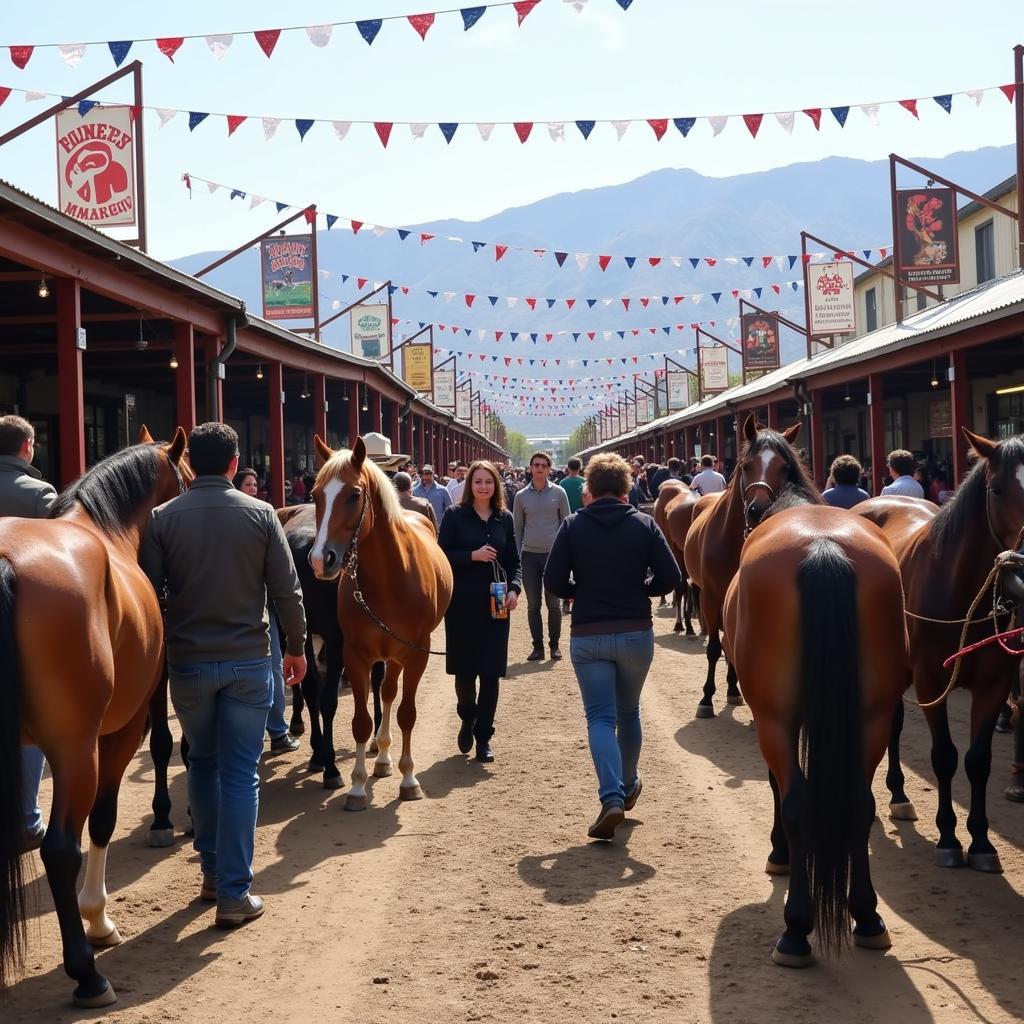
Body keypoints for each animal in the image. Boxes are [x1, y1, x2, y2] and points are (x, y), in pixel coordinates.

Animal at [0, 430, 187, 1007]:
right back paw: (87, 973)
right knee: (61, 848)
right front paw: (98, 919)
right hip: (75, 749)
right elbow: (104, 817)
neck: (105, 528)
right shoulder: (124, 725)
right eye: (187, 480)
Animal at [307, 436, 452, 811]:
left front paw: (409, 779)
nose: (320, 559)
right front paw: (357, 786)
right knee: (383, 694)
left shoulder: (417, 653)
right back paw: (381, 758)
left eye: (354, 494)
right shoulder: (355, 655)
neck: (390, 578)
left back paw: (387, 758)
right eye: (315, 494)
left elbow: (406, 714)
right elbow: (361, 722)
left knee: (388, 694)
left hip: (399, 653)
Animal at [684, 419, 802, 716]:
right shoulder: (711, 597)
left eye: (784, 467)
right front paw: (706, 698)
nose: (758, 509)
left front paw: (733, 689)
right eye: (747, 465)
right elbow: (715, 648)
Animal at [720, 411, 905, 962]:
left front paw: (780, 853)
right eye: (748, 464)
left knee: (799, 799)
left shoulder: (772, 714)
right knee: (860, 803)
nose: (753, 506)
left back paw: (796, 928)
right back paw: (866, 915)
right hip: (873, 715)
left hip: (776, 716)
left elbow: (780, 788)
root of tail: (824, 548)